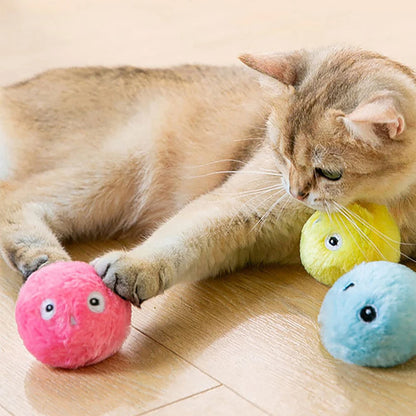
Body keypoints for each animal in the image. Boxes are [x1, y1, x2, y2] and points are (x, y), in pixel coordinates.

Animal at [0, 46, 416, 306]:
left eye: (329, 173)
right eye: (279, 152)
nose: (296, 193)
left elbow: (194, 248)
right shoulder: (238, 205)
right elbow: (181, 236)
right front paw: (133, 268)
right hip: (122, 166)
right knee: (14, 195)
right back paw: (41, 255)